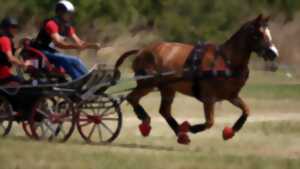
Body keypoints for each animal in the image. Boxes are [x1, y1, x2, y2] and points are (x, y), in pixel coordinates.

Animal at [114, 13, 278, 145]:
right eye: (259, 33)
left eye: (269, 32)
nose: (273, 53)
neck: (226, 61)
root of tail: (142, 50)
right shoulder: (209, 98)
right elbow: (210, 122)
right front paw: (188, 127)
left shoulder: (232, 96)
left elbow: (246, 111)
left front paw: (229, 132)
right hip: (148, 83)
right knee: (132, 98)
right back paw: (147, 122)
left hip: (167, 87)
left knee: (164, 111)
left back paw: (180, 135)